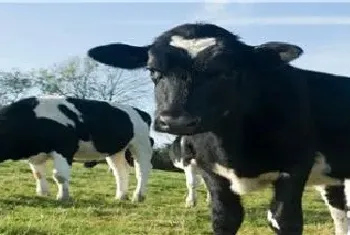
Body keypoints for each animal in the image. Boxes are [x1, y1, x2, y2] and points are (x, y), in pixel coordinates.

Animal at [0, 97, 153, 202]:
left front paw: (63, 197)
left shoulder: (64, 149)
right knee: (121, 171)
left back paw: (138, 196)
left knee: (142, 170)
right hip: (116, 151)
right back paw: (121, 196)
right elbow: (38, 174)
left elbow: (59, 176)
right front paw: (43, 193)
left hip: (141, 144)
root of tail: (142, 112)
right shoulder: (35, 155)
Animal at [87, 22, 350, 235]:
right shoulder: (209, 169)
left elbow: (284, 219)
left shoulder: (295, 167)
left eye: (227, 72)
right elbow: (225, 218)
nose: (175, 120)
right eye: (153, 70)